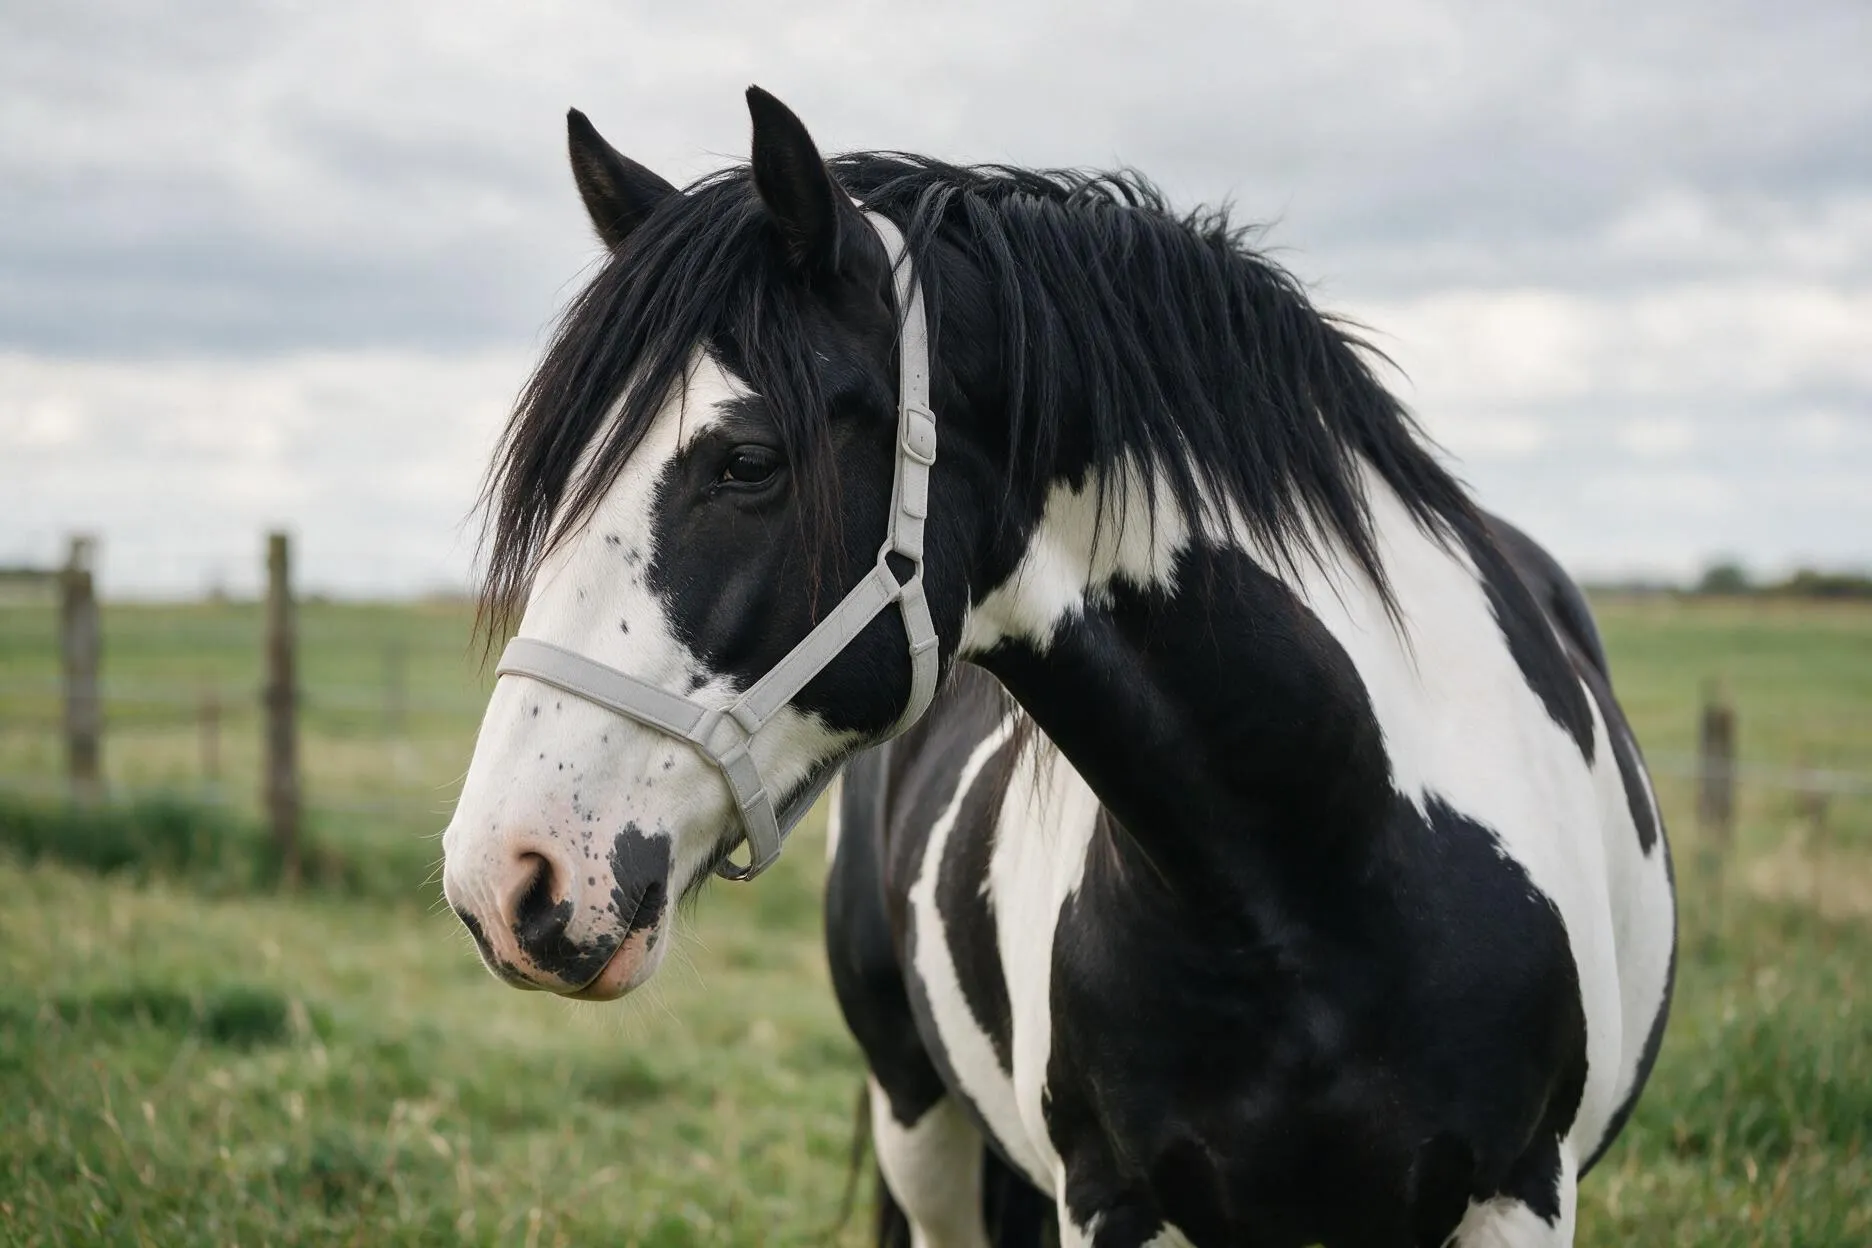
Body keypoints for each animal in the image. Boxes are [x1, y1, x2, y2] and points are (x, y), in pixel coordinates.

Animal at [439, 87, 1676, 1247]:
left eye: (747, 462)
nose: (503, 878)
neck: (1320, 871)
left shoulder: (1518, 1194)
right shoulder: (1113, 1200)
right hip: (917, 1113)